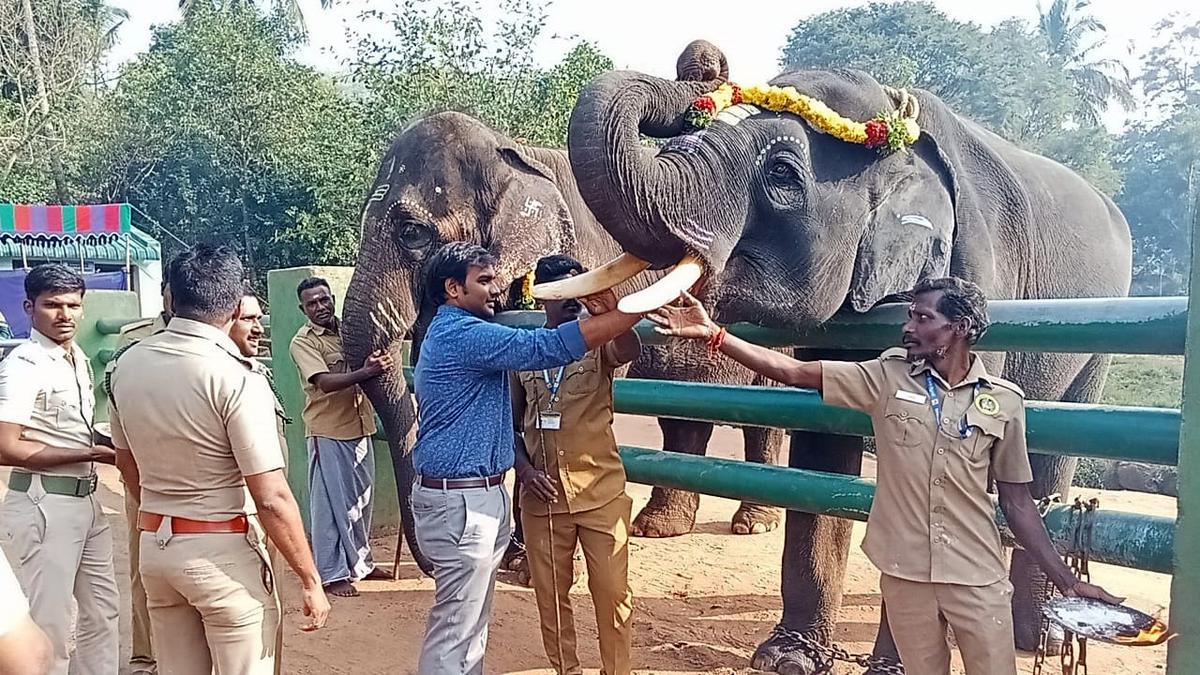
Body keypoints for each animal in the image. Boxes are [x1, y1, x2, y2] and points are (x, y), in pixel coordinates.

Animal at [338, 43, 787, 578]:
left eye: (411, 232)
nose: (413, 566)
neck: (513, 151)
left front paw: (525, 564)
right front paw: (519, 556)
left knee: (765, 412)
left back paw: (753, 524)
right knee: (684, 415)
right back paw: (658, 527)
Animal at [554, 40, 1132, 672]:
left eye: (782, 174)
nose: (703, 64)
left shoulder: (984, 278)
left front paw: (897, 665)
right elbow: (824, 447)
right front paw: (788, 658)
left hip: (1100, 336)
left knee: (1046, 463)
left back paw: (1039, 638)